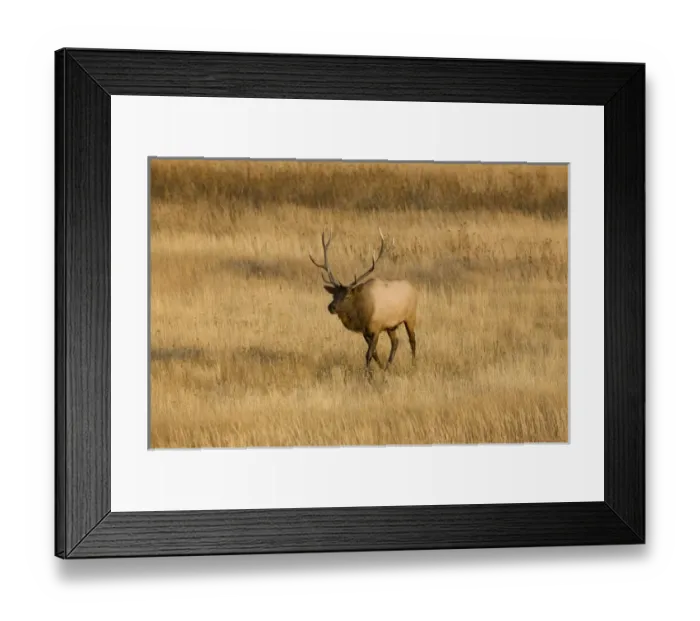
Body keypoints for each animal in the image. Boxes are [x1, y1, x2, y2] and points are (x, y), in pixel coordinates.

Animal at [309, 229, 418, 373]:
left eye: (347, 296)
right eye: (334, 295)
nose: (331, 307)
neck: (362, 315)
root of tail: (413, 289)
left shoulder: (376, 328)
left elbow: (368, 354)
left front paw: (367, 374)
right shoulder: (365, 331)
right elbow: (374, 353)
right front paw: (380, 368)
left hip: (410, 316)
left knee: (412, 340)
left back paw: (413, 364)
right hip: (391, 326)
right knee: (395, 342)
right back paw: (388, 366)